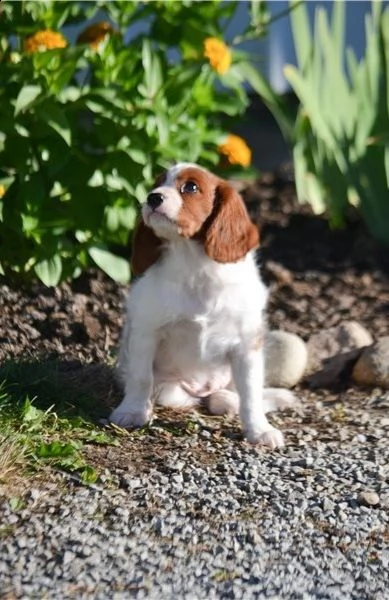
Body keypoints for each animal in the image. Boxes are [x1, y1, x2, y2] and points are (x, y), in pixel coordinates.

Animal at [110, 162, 296, 448]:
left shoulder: (247, 345)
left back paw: (229, 400)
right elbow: (140, 377)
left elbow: (251, 392)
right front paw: (132, 412)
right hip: (172, 388)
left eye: (191, 187)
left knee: (229, 395)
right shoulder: (146, 332)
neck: (194, 264)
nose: (152, 197)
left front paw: (259, 430)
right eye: (157, 183)